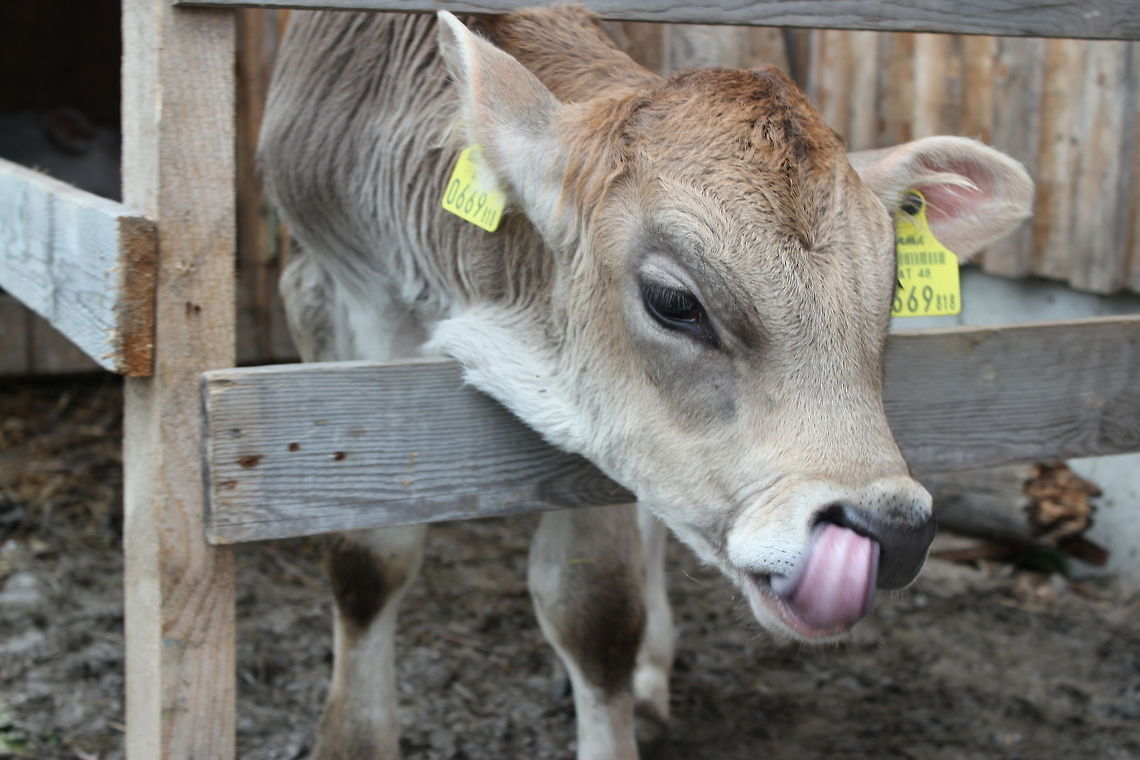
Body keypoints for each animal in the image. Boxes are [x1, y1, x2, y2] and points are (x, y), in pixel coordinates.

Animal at [258, 8, 1033, 758]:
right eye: (674, 301)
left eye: (893, 288)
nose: (892, 531)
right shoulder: (327, 295)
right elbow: (368, 562)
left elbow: (594, 609)